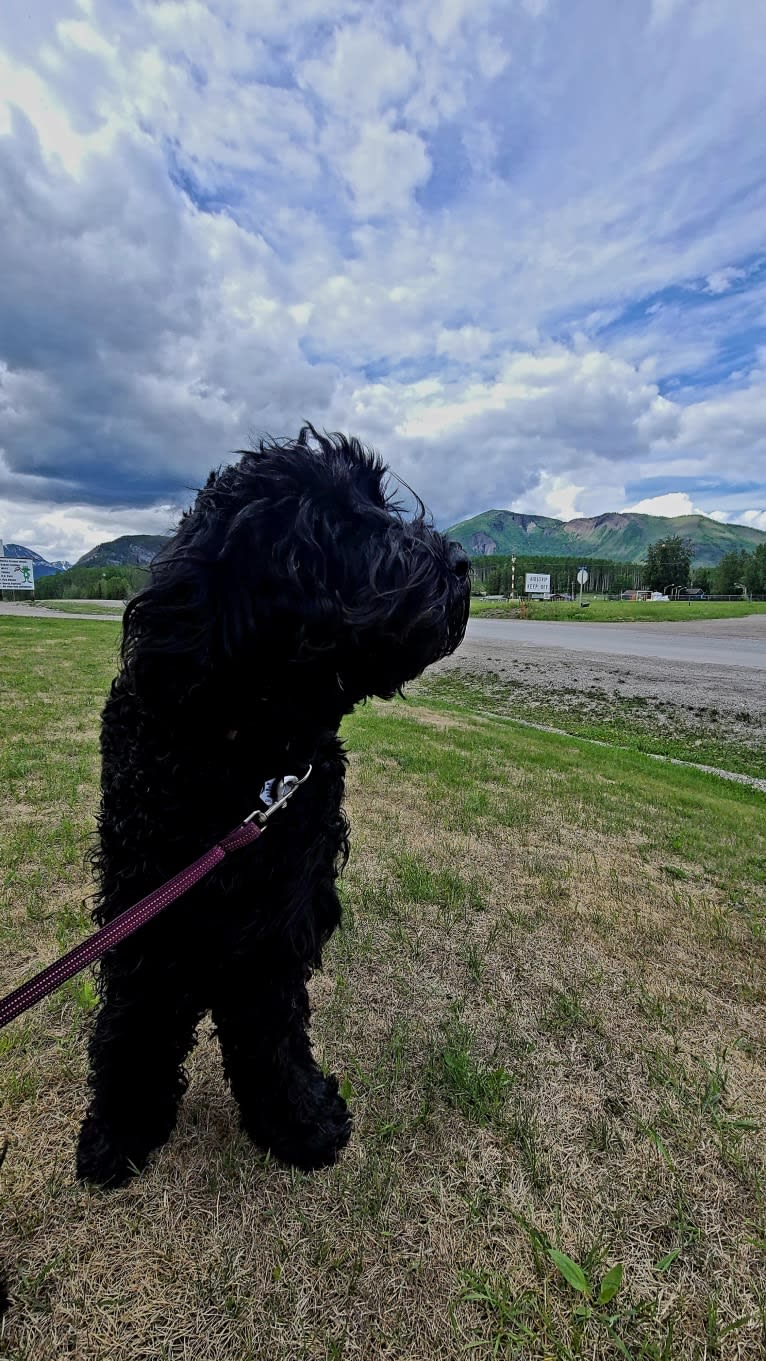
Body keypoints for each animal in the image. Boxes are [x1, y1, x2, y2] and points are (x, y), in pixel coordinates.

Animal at [77, 424, 473, 1181]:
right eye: (338, 524)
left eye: (379, 501)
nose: (461, 566)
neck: (250, 758)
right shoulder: (145, 898)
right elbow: (137, 1016)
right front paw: (120, 1126)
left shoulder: (281, 914)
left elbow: (272, 1029)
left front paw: (298, 1123)